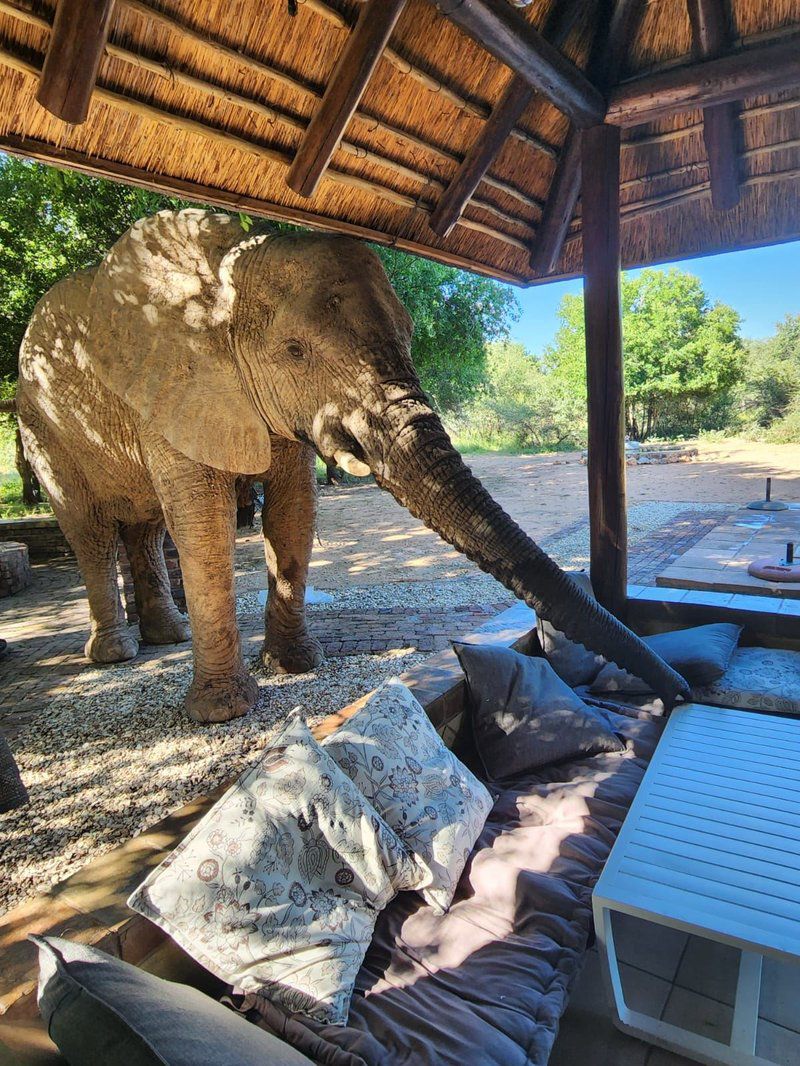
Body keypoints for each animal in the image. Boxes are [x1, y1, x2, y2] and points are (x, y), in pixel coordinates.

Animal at [17, 207, 691, 724]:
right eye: (294, 351)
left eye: (412, 335)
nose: (682, 692)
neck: (228, 269)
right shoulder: (174, 386)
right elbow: (204, 525)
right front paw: (223, 712)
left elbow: (294, 511)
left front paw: (295, 667)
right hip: (41, 421)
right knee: (91, 531)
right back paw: (115, 653)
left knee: (144, 528)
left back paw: (168, 638)